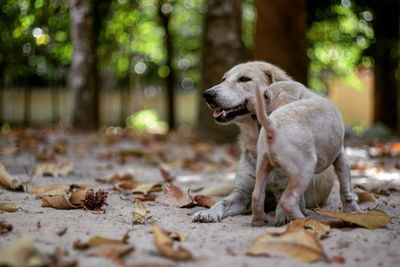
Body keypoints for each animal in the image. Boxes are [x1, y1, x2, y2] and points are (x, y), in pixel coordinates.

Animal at [252, 79, 360, 226]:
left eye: (266, 96)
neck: (306, 94)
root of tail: (272, 125)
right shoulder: (340, 156)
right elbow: (346, 189)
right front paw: (352, 212)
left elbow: (302, 199)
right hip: (304, 169)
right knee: (288, 201)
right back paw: (304, 221)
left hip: (263, 166)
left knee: (257, 195)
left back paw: (259, 221)